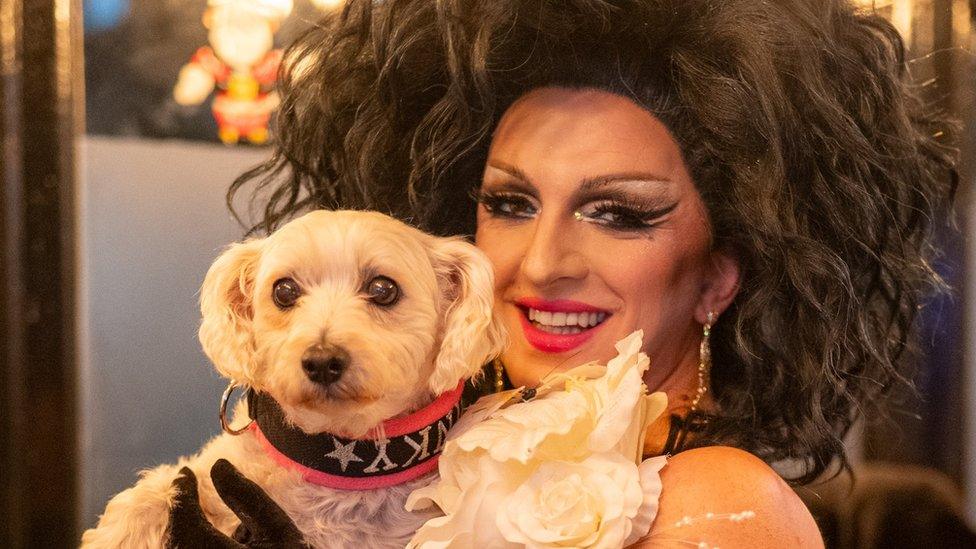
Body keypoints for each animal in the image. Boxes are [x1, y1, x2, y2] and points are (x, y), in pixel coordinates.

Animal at [81, 210, 508, 548]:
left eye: (383, 288)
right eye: (284, 290)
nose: (321, 361)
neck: (338, 461)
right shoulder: (206, 474)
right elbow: (155, 492)